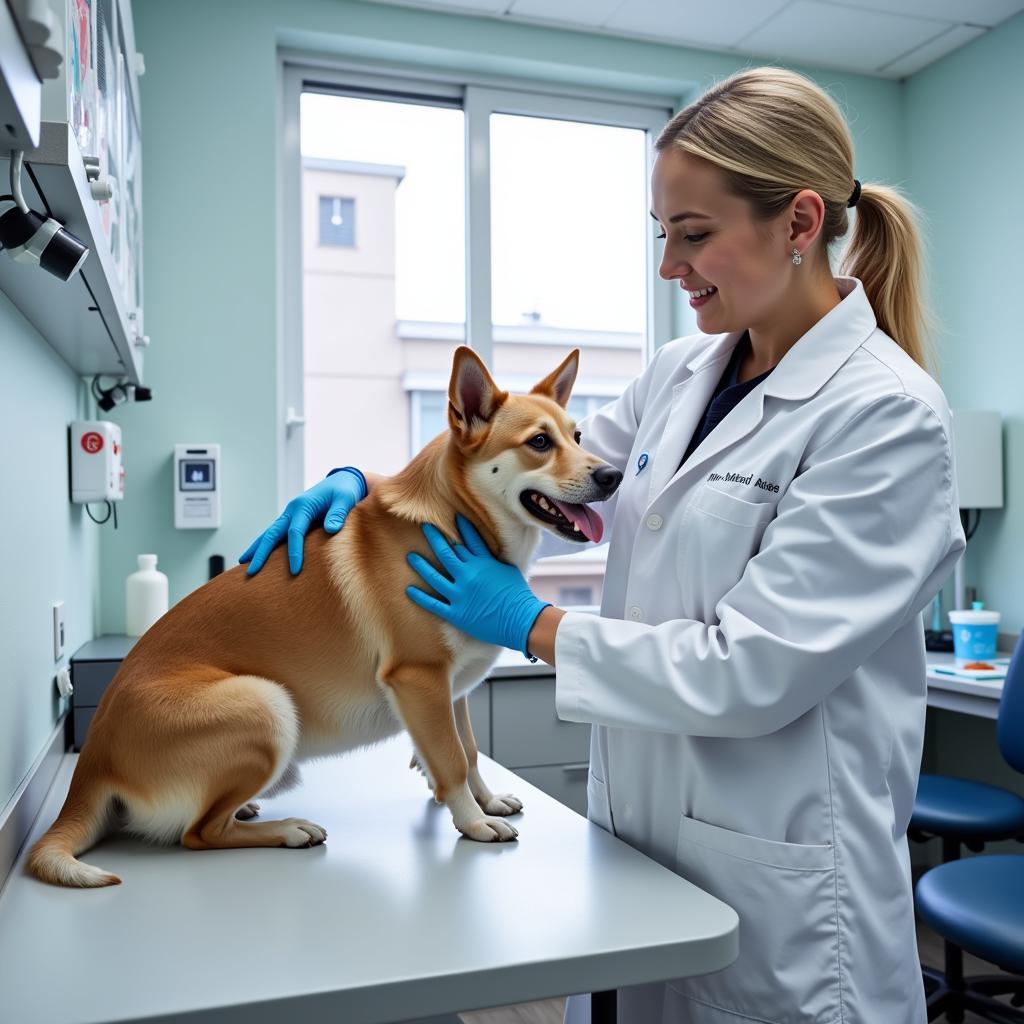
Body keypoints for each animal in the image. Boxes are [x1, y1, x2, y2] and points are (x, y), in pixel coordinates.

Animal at [28, 348, 622, 884]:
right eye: (539, 443)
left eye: (579, 437)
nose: (613, 475)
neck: (456, 522)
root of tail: (91, 765)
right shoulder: (420, 679)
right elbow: (452, 760)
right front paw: (473, 823)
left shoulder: (451, 692)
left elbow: (469, 751)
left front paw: (486, 801)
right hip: (265, 703)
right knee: (199, 833)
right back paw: (288, 829)